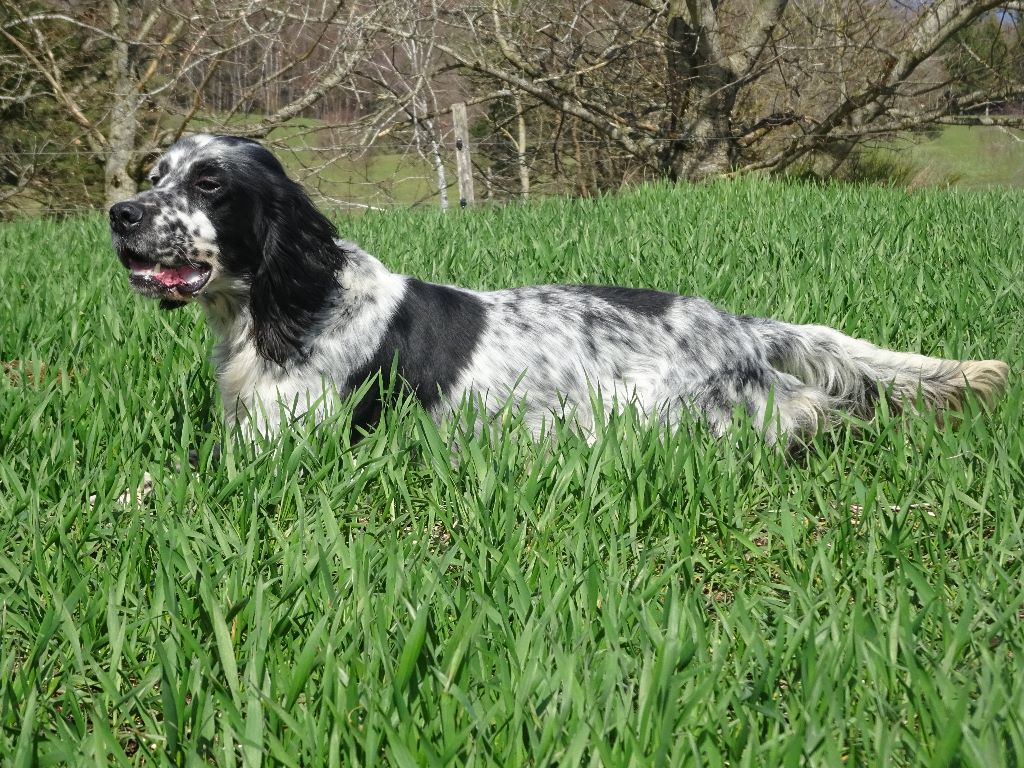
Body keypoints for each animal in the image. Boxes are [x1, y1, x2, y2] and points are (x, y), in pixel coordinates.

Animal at [108, 134, 1008, 448]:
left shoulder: (285, 443)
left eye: (210, 181)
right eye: (155, 173)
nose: (119, 213)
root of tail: (740, 325)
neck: (287, 305)